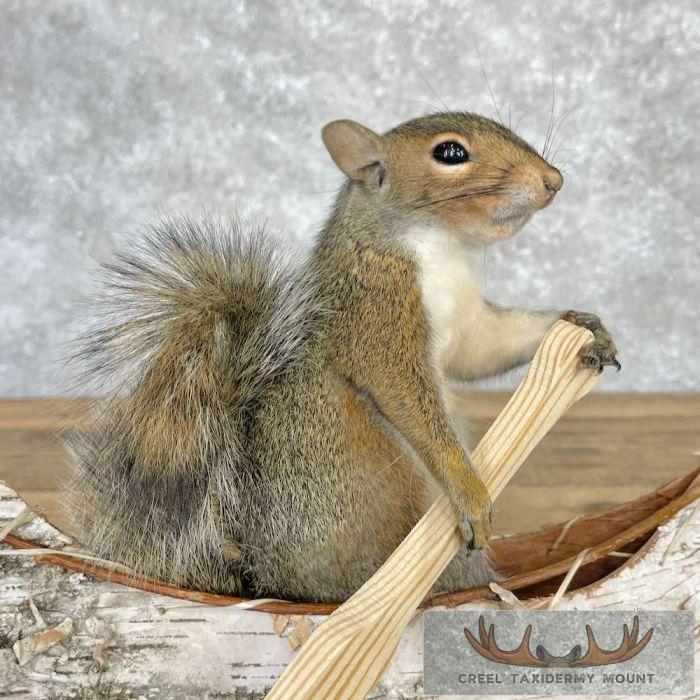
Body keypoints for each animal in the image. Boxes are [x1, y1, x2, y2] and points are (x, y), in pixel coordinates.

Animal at [68, 111, 619, 603]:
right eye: (450, 153)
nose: (553, 180)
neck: (441, 249)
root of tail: (264, 576)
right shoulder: (376, 315)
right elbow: (406, 397)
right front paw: (469, 493)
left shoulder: (468, 325)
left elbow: (486, 349)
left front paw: (583, 327)